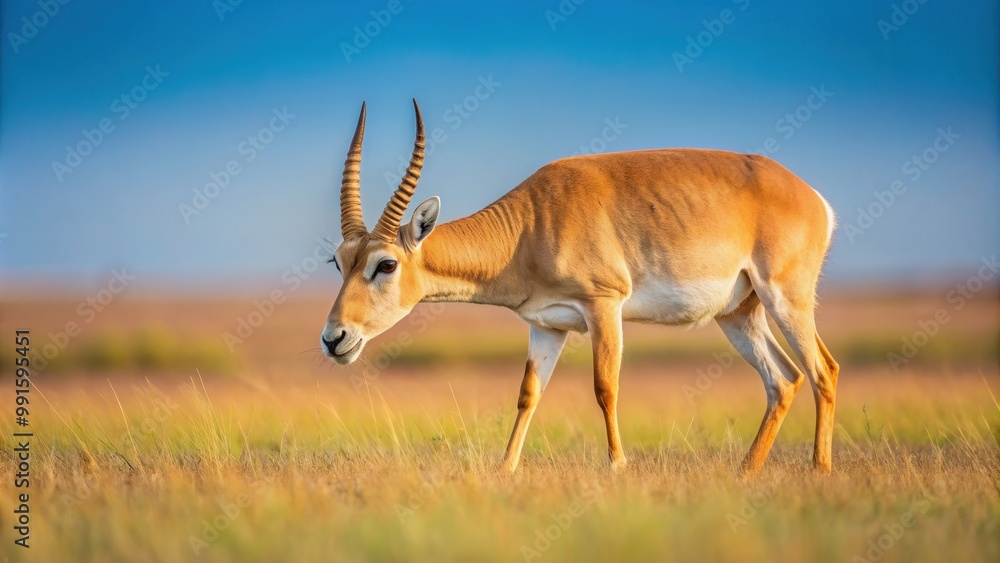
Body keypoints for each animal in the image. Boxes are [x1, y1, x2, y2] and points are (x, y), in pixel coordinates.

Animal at [321, 100, 840, 475]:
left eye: (385, 264)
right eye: (338, 261)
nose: (334, 339)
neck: (529, 225)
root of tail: (813, 196)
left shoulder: (602, 306)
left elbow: (605, 387)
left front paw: (618, 467)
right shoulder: (547, 326)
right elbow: (528, 394)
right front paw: (506, 470)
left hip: (786, 299)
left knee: (823, 371)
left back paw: (819, 470)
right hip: (738, 314)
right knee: (783, 380)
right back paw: (745, 472)